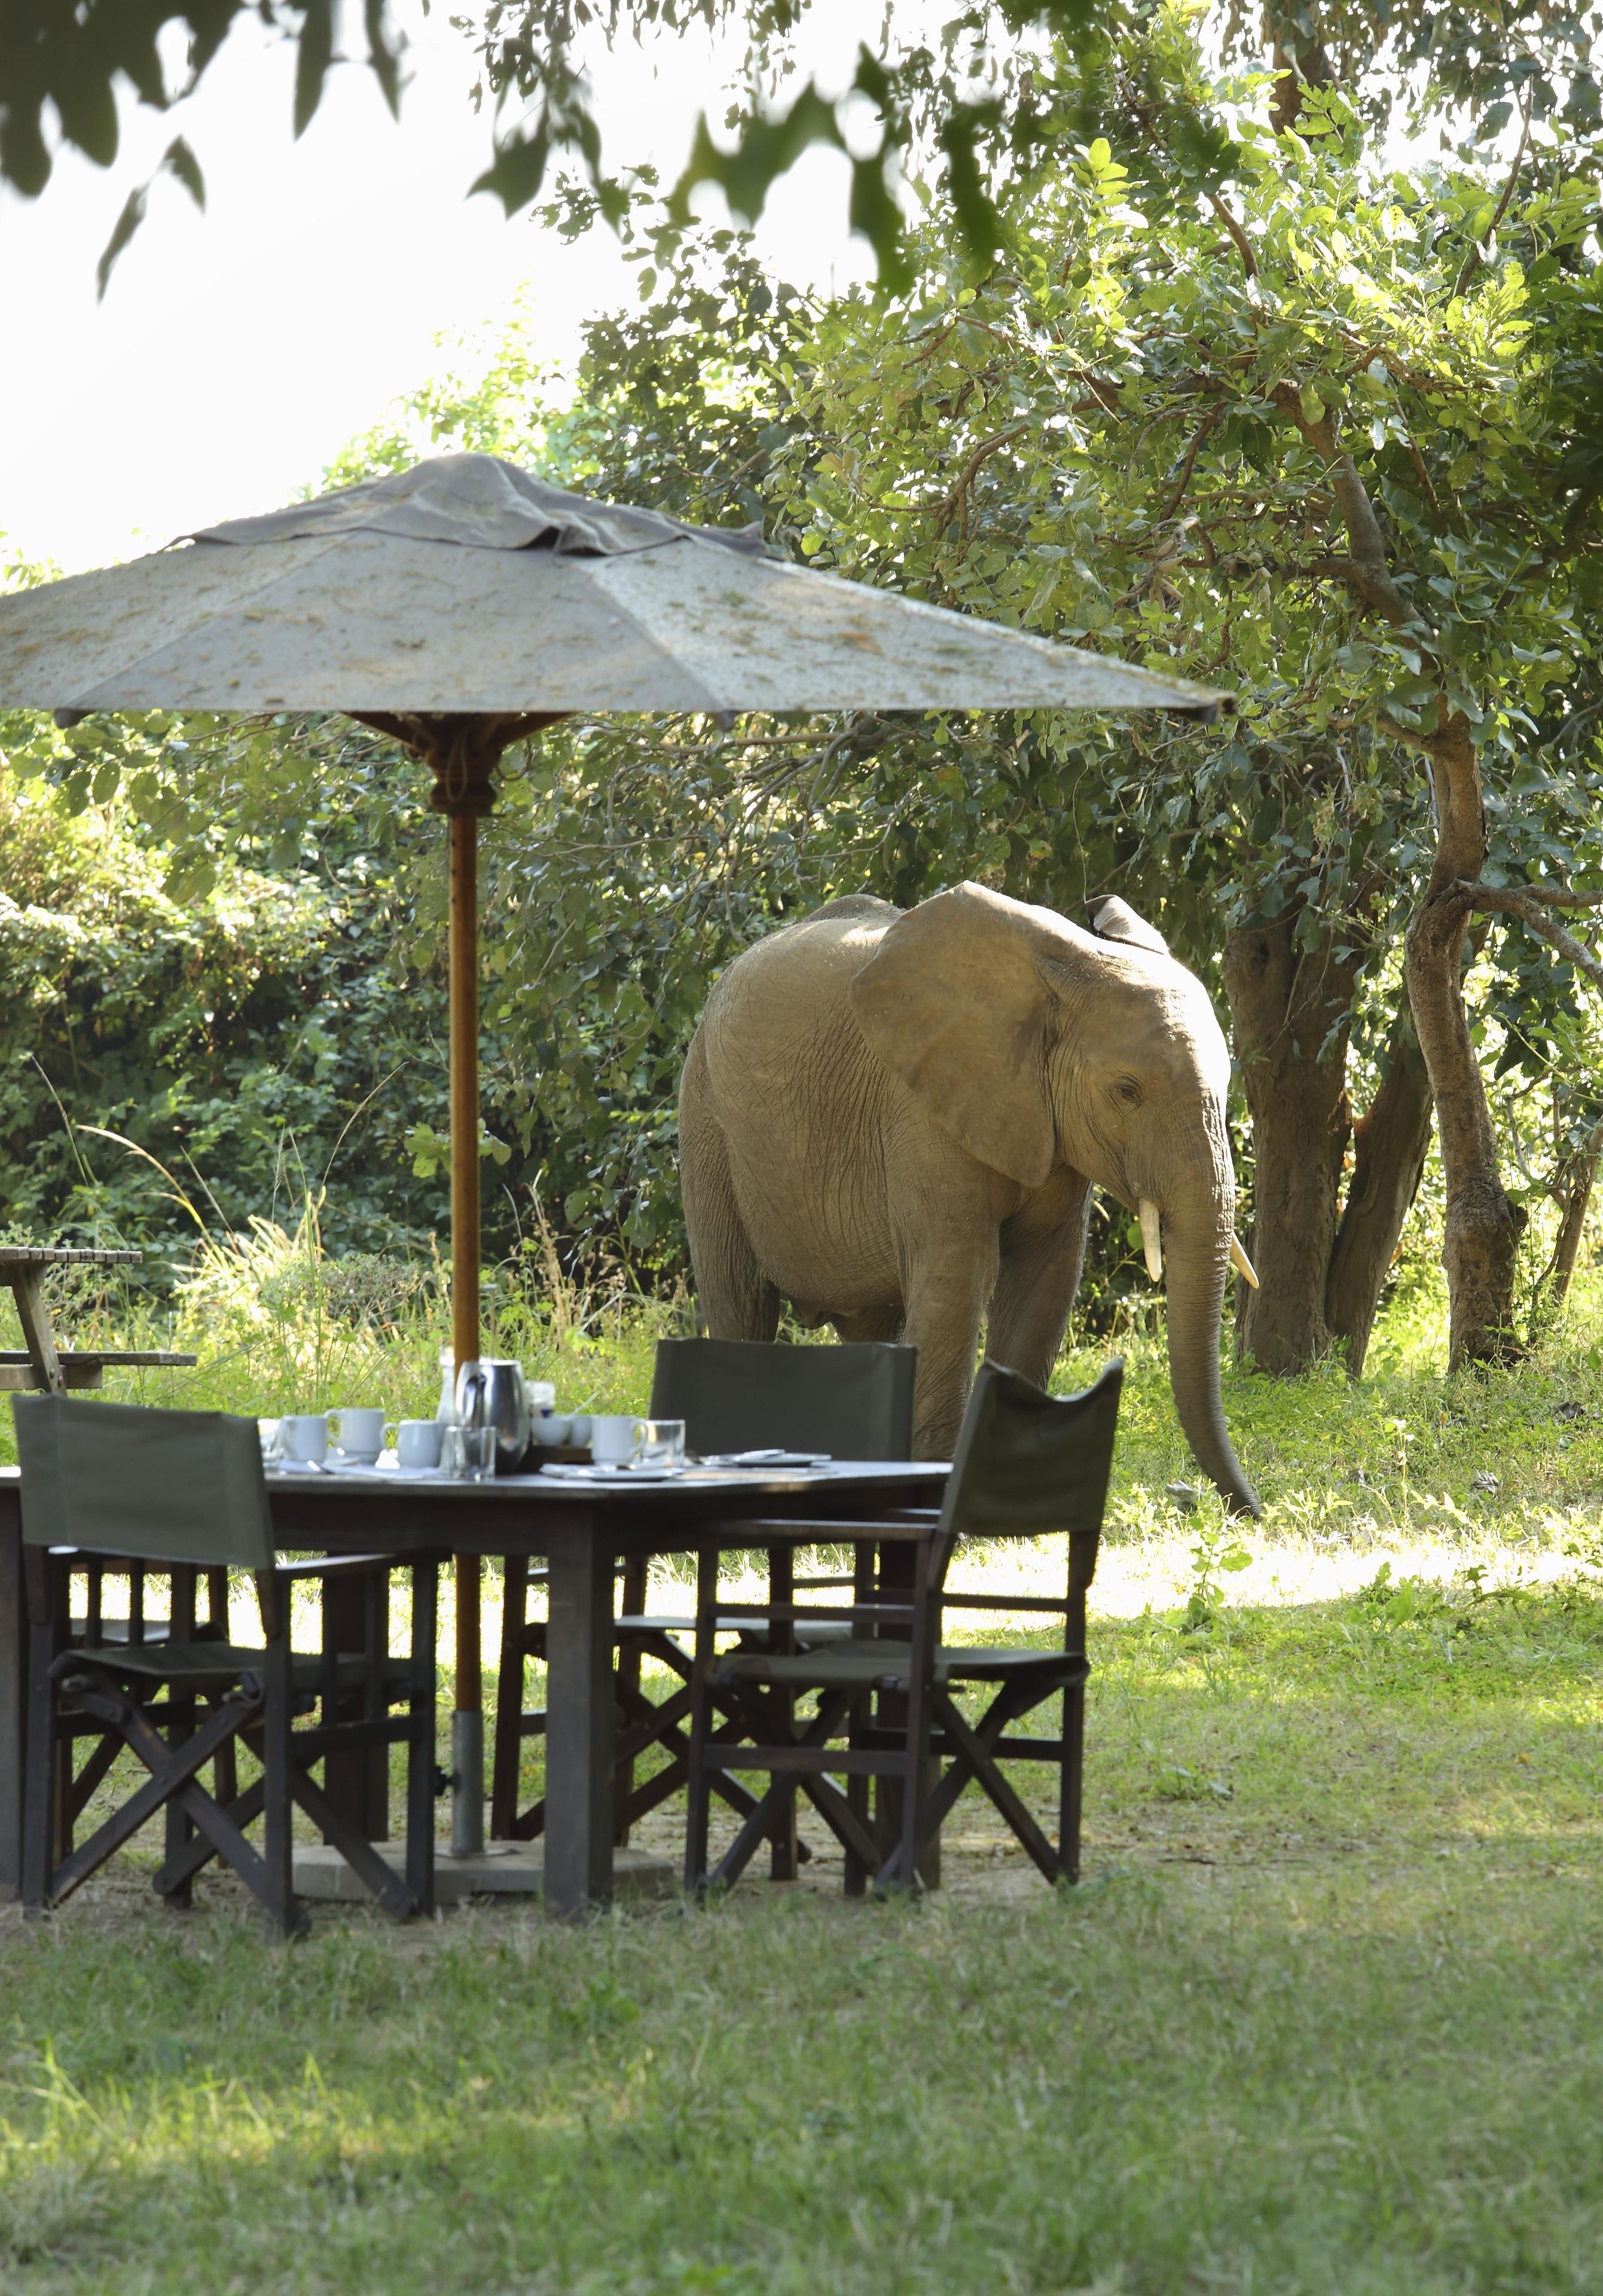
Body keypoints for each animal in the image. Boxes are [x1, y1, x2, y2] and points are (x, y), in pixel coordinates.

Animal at [679, 880, 1260, 1515]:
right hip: (705, 1119)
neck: (1067, 968)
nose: (1249, 1512)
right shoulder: (922, 1106)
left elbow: (1044, 1279)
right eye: (1126, 1092)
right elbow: (959, 1274)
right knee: (740, 1302)